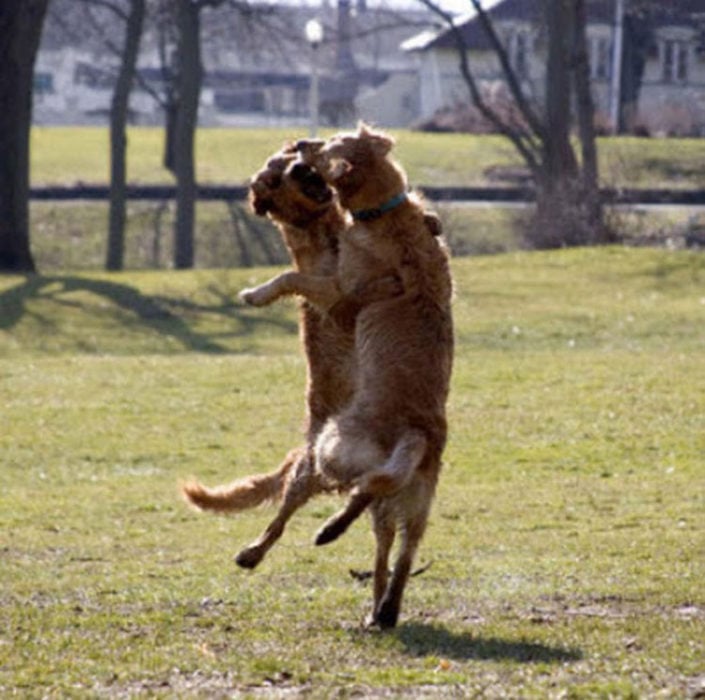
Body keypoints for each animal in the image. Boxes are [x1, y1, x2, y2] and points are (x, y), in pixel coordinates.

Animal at [182, 146, 402, 568]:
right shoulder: (333, 292)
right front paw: (256, 294)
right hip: (305, 475)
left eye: (286, 158)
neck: (327, 237)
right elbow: (290, 277)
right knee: (280, 518)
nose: (300, 167)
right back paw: (253, 552)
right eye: (272, 178)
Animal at [239, 123, 454, 628]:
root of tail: (416, 431)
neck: (387, 211)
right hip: (416, 502)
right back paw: (383, 609)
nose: (301, 147)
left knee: (355, 491)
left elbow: (289, 278)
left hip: (331, 448)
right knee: (397, 547)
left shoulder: (338, 296)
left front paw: (256, 294)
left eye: (325, 147)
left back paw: (318, 534)